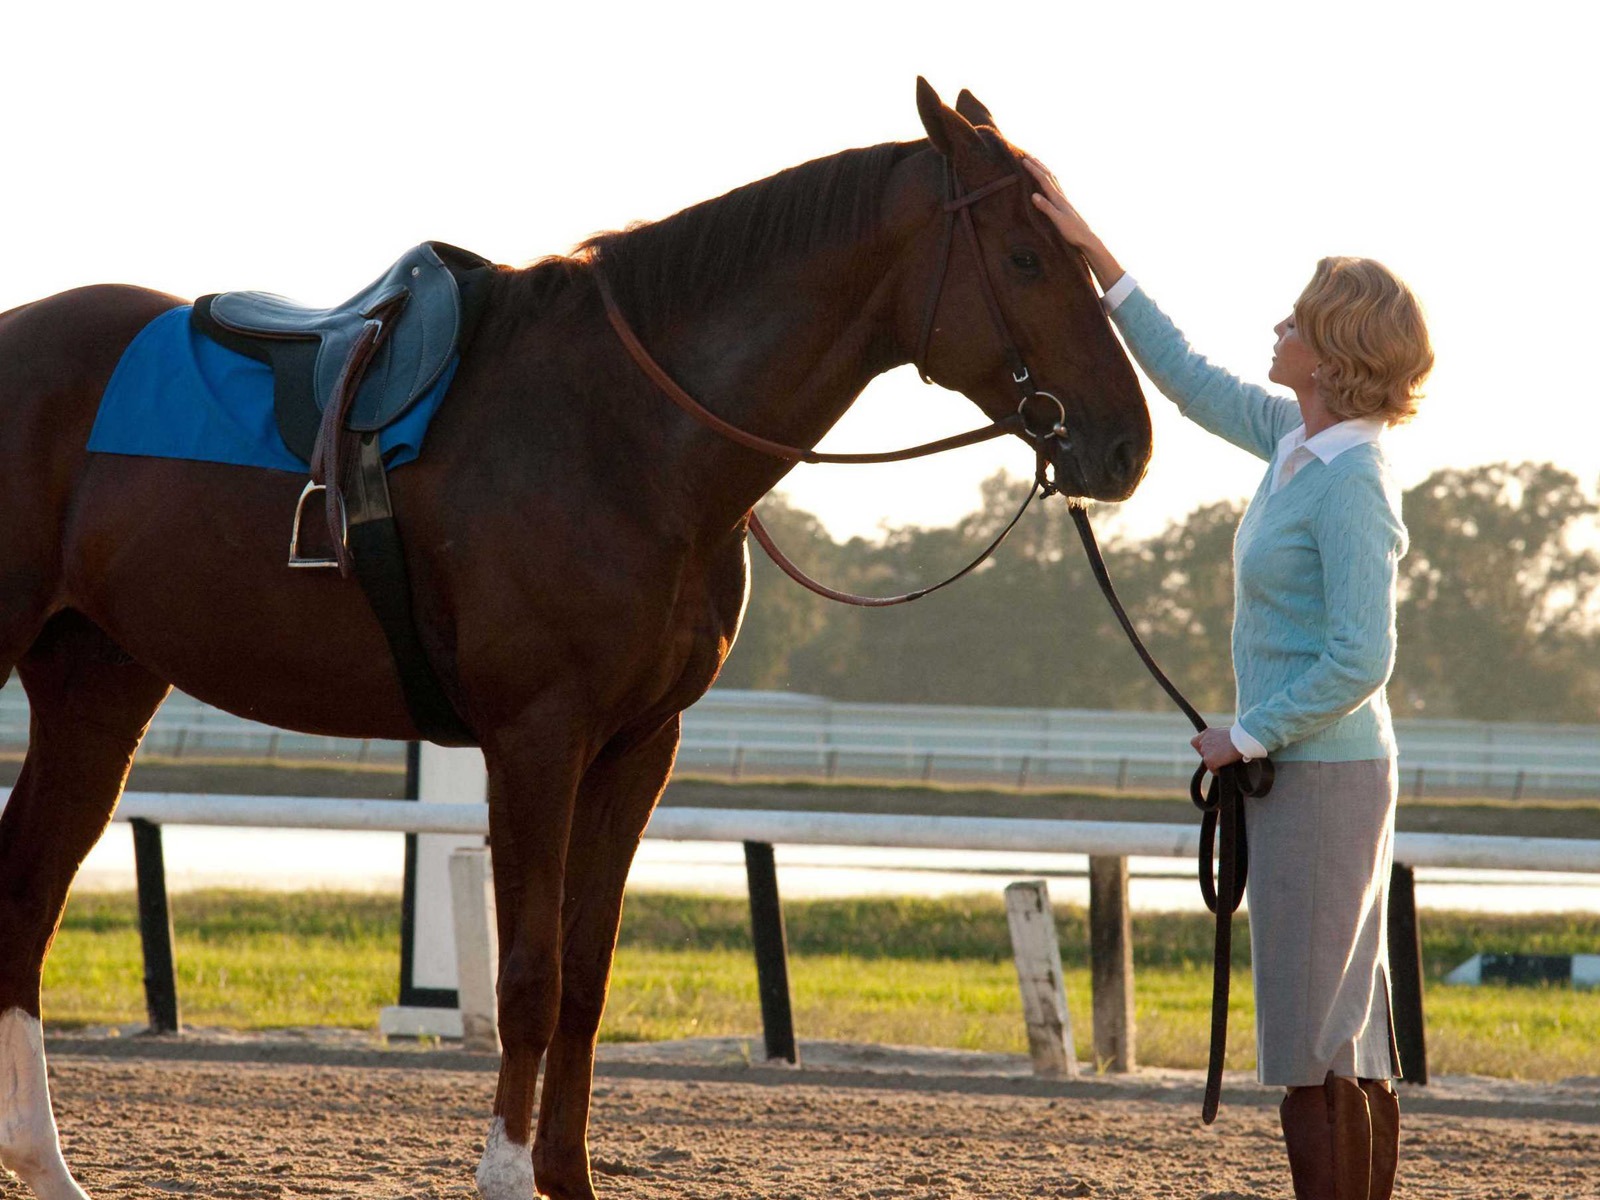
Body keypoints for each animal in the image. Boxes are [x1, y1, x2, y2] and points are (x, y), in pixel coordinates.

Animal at [0, 82, 1152, 1200]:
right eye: (1024, 256)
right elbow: (530, 976)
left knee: (28, 893)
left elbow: (587, 978)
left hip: (99, 685)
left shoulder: (639, 747)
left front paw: (565, 1172)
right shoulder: (536, 741)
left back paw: (47, 1167)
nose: (1127, 446)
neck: (630, 434)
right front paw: (508, 1173)